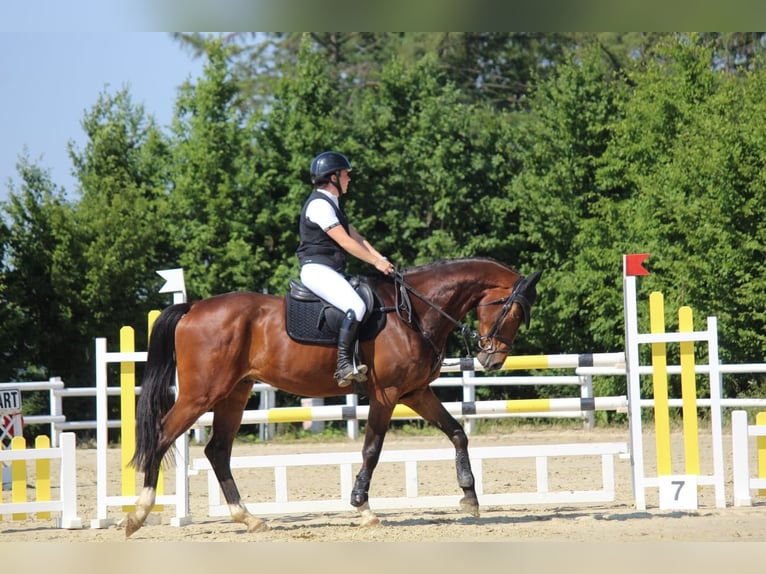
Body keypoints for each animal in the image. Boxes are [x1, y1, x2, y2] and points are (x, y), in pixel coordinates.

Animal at [126, 258, 544, 536]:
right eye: (514, 313)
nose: (492, 359)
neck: (413, 312)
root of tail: (193, 307)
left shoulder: (415, 392)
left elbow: (457, 431)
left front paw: (469, 496)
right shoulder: (386, 393)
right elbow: (372, 449)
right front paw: (363, 507)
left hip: (234, 393)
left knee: (217, 450)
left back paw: (248, 517)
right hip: (201, 394)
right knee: (162, 435)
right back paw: (137, 515)